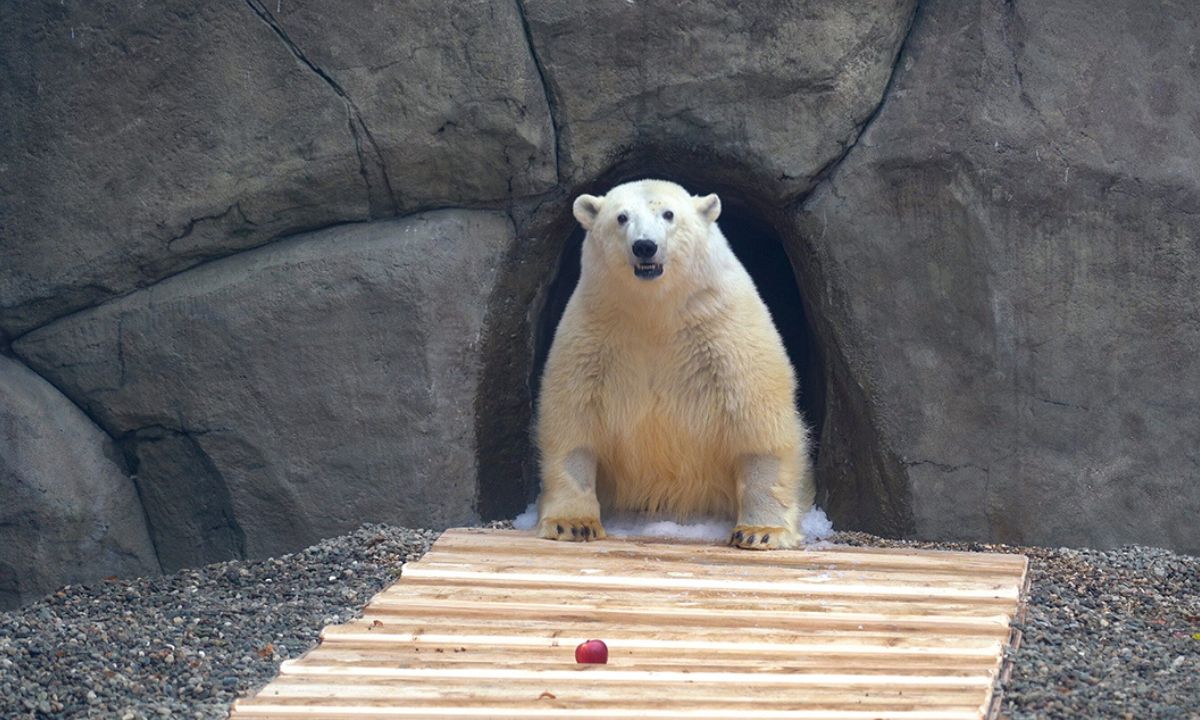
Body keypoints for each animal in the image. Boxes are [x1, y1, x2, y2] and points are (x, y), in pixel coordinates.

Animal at [535, 177, 816, 549]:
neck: (656, 313)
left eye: (668, 214)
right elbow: (573, 422)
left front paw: (761, 532)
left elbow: (758, 422)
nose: (645, 246)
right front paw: (572, 524)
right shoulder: (594, 334)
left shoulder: (724, 332)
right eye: (621, 217)